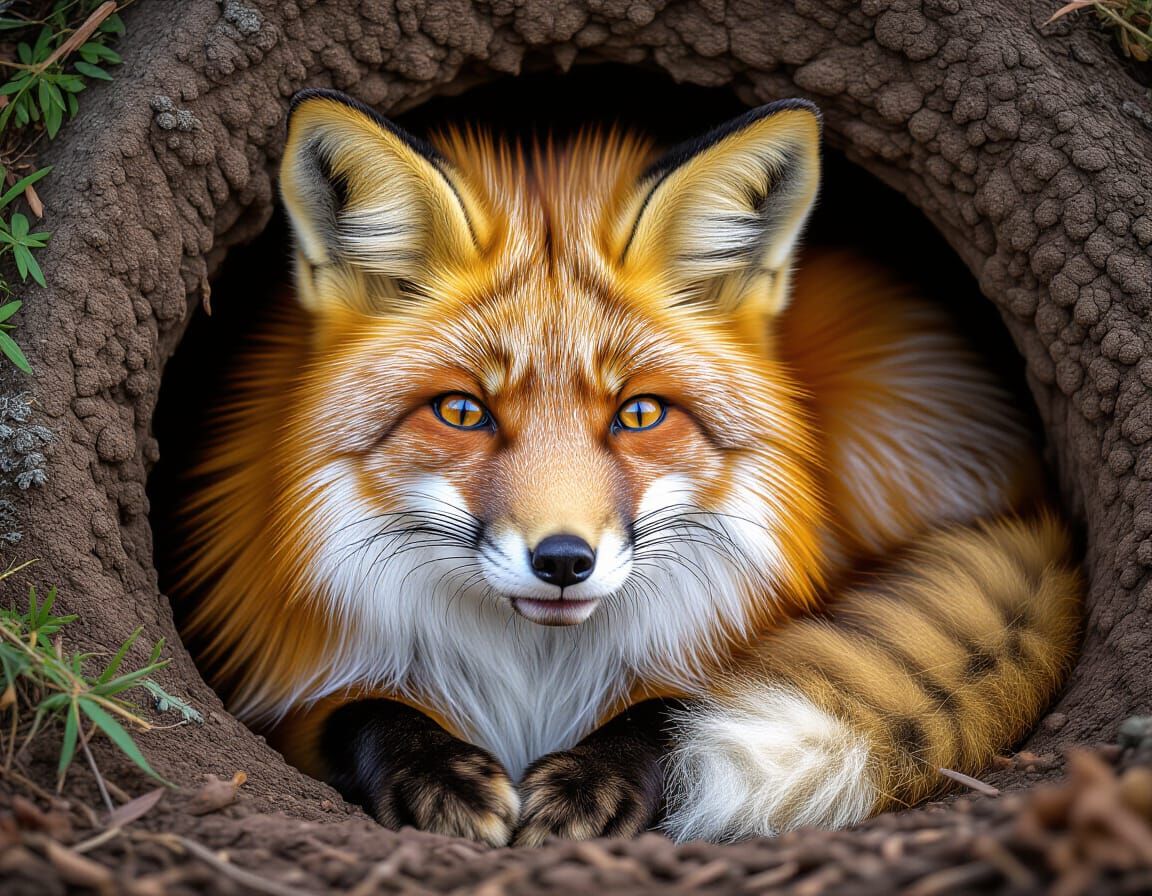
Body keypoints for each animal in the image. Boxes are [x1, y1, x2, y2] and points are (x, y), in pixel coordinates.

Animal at [176, 88, 1082, 846]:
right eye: (463, 411)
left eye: (640, 414)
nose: (563, 561)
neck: (532, 680)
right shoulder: (288, 693)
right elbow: (362, 711)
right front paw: (438, 774)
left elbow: (678, 710)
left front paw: (592, 780)